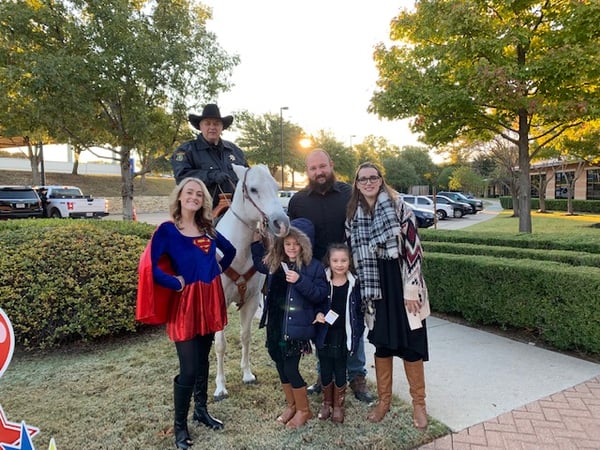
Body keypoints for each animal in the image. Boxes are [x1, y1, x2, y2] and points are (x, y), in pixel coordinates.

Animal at [213, 164, 290, 400]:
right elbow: (220, 345)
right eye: (254, 189)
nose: (282, 223)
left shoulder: (252, 299)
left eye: (276, 187)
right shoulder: (219, 303)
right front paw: (220, 386)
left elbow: (245, 336)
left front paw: (247, 374)